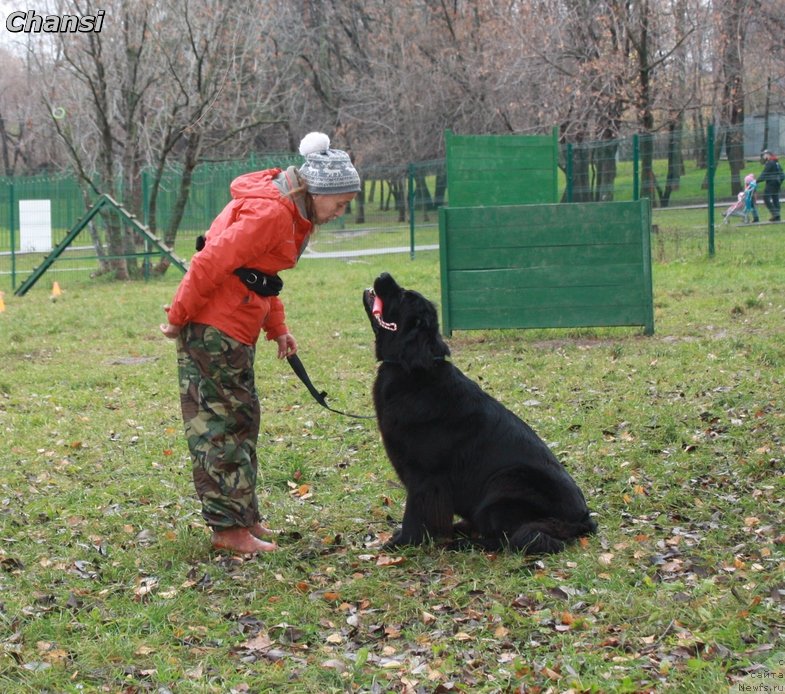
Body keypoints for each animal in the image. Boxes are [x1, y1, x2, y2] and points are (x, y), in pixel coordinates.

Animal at [364, 272, 596, 556]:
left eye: (404, 295)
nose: (384, 275)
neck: (410, 369)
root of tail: (584, 520)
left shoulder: (425, 477)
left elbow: (415, 514)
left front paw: (402, 543)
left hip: (505, 482)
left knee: (507, 539)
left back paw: (464, 543)